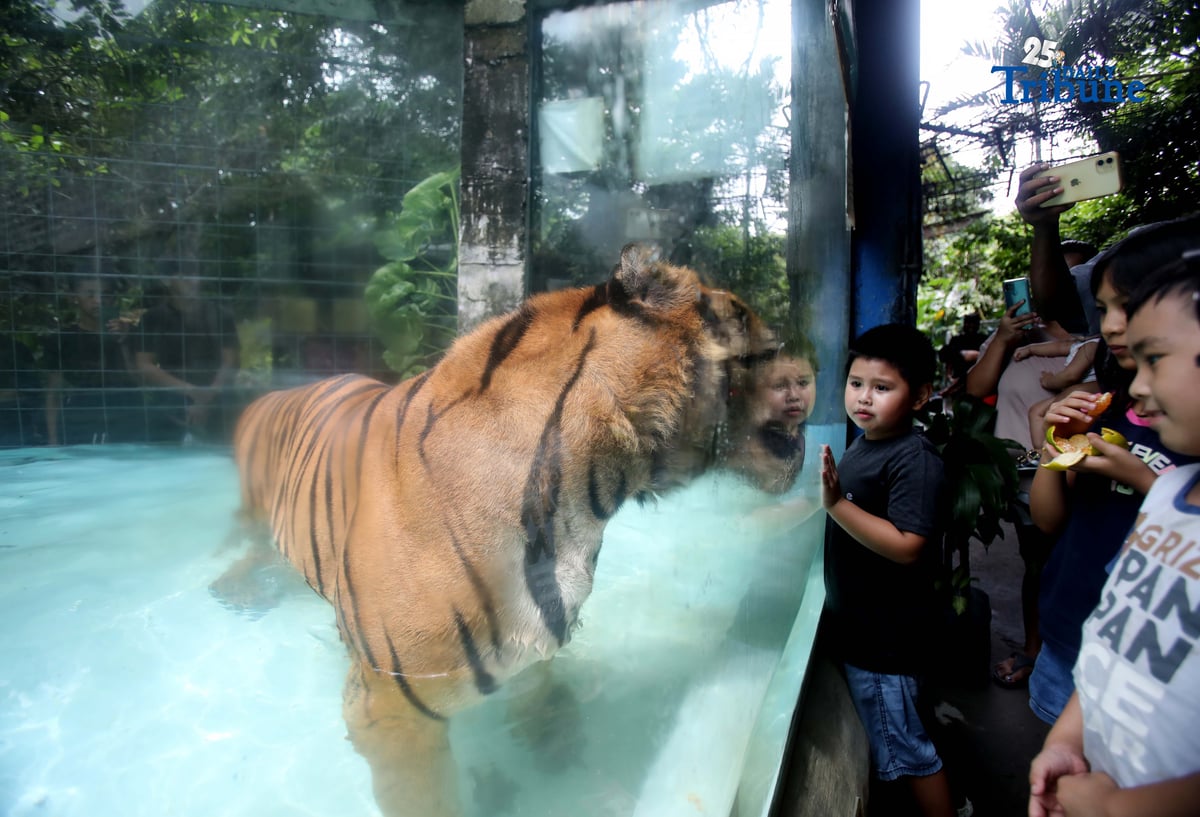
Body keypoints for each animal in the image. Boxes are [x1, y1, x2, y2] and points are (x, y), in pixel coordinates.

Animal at [222, 244, 786, 817]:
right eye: (740, 314)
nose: (789, 351)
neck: (586, 493)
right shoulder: (388, 707)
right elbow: (427, 799)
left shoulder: (537, 636)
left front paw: (552, 742)